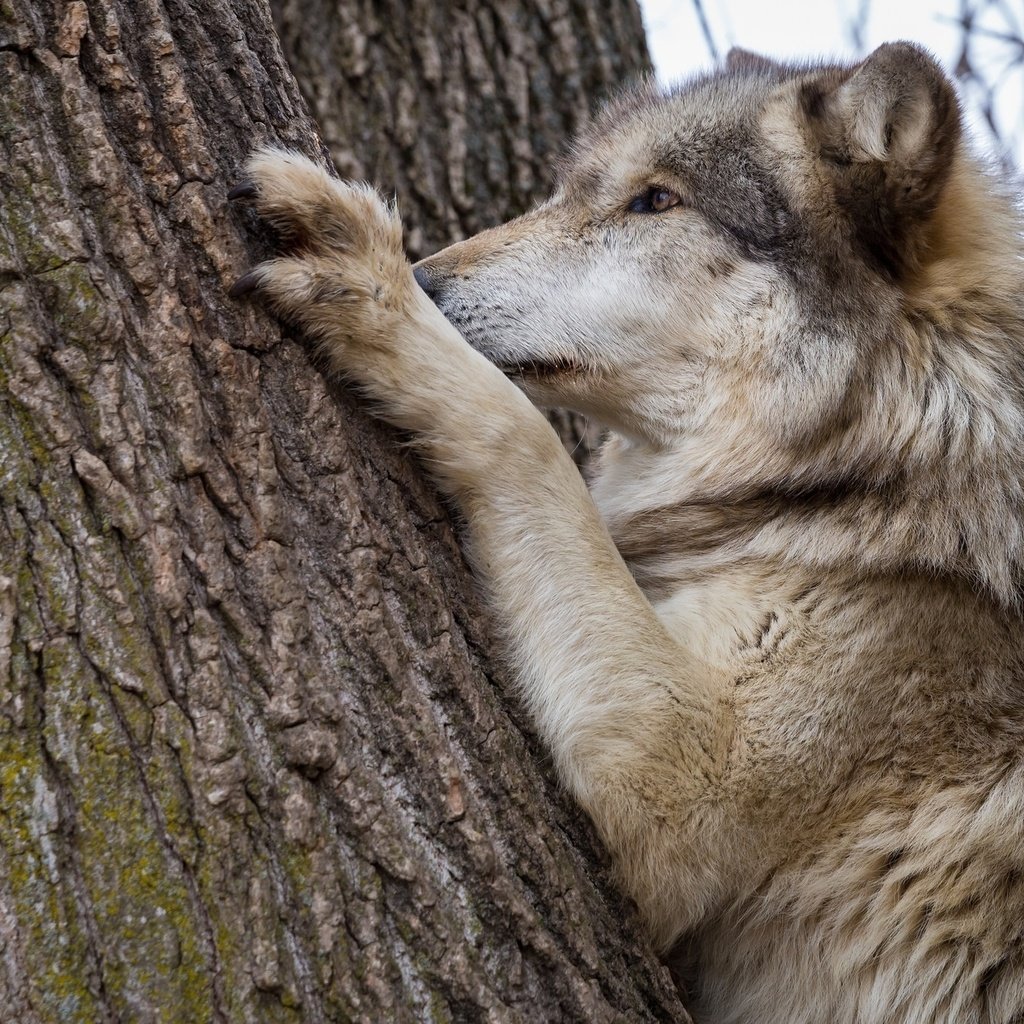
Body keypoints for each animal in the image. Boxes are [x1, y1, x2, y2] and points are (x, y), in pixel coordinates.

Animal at [230, 41, 1024, 1024]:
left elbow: (527, 439)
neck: (884, 452)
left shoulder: (678, 774)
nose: (429, 281)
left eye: (655, 201)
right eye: (572, 189)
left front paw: (373, 283)